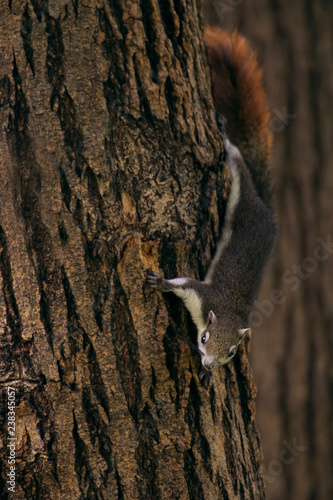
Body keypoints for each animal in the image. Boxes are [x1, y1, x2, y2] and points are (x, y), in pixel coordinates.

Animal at [145, 28, 274, 376]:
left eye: (231, 353)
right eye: (203, 338)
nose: (208, 363)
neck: (227, 311)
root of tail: (267, 210)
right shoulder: (203, 295)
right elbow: (183, 283)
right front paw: (160, 282)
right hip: (242, 189)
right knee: (235, 156)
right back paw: (223, 132)